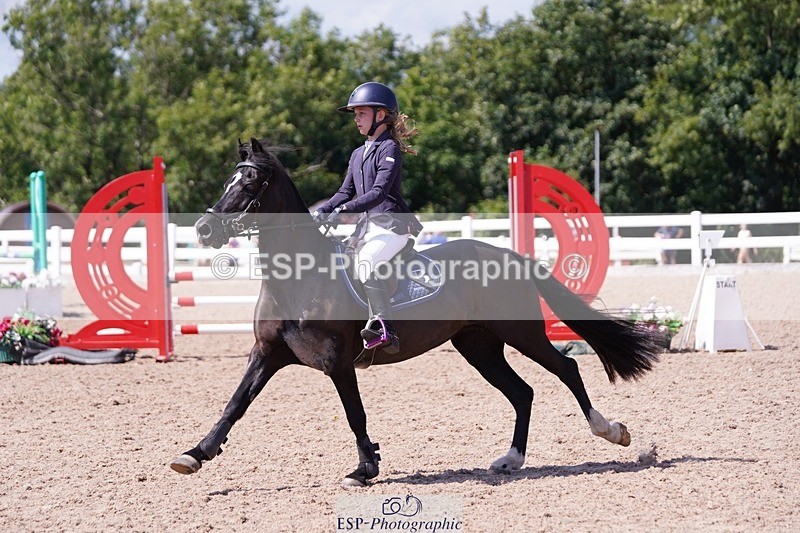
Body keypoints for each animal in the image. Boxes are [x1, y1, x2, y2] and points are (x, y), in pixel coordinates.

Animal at [170, 137, 662, 487]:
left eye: (251, 182)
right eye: (231, 179)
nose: (204, 228)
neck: (298, 278)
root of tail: (510, 255)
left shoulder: (336, 360)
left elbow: (355, 413)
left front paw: (364, 469)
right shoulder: (267, 354)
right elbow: (235, 403)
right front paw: (194, 454)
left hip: (521, 333)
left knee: (566, 370)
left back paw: (610, 430)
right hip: (477, 345)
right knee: (522, 392)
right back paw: (510, 460)